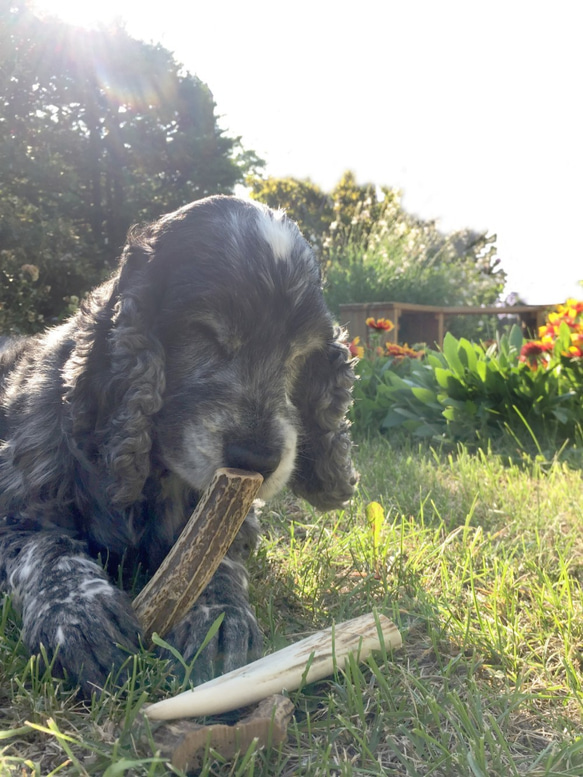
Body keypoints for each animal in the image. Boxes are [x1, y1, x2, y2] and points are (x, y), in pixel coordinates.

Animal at [0, 197, 356, 696]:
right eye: (204, 333)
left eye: (301, 354)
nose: (258, 462)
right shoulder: (16, 511)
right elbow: (46, 550)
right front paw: (80, 617)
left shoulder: (231, 514)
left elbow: (217, 561)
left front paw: (220, 621)